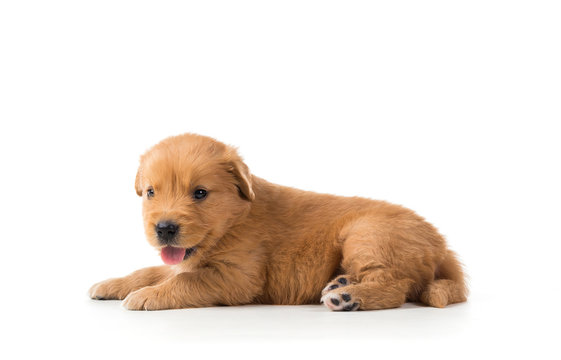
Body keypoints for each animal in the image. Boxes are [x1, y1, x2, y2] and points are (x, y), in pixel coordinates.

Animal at [89, 134, 466, 310]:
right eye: (151, 192)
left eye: (199, 193)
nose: (165, 229)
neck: (234, 221)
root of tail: (442, 244)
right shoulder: (183, 259)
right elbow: (150, 271)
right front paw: (113, 284)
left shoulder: (237, 277)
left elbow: (185, 281)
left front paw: (145, 296)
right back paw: (341, 283)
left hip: (367, 234)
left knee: (397, 285)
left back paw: (348, 296)